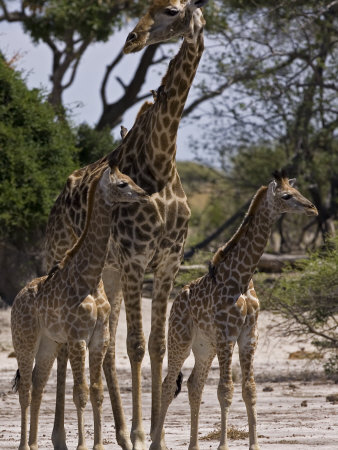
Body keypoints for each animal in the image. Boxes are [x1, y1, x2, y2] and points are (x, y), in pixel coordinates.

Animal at [11, 163, 148, 450]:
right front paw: (83, 445)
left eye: (130, 178)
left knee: (38, 385)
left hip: (48, 343)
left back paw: (33, 444)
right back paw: (24, 445)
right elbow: (80, 392)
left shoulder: (99, 337)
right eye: (122, 184)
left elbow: (96, 391)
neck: (91, 277)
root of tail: (17, 298)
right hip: (24, 339)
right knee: (26, 389)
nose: (144, 195)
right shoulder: (77, 337)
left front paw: (97, 445)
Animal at [45, 1, 209, 448]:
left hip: (109, 274)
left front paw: (155, 436)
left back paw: (115, 433)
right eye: (142, 7)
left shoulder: (167, 263)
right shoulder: (137, 259)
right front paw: (140, 432)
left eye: (170, 10)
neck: (161, 164)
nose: (132, 40)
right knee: (67, 346)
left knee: (104, 347)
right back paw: (65, 435)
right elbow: (135, 346)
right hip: (65, 263)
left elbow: (156, 347)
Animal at [151, 172, 316, 450]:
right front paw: (223, 445)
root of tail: (176, 301)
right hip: (180, 338)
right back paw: (156, 444)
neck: (242, 277)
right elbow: (225, 390)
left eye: (298, 190)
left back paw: (193, 445)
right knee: (168, 383)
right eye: (286, 196)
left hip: (205, 346)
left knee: (194, 384)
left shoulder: (249, 335)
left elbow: (249, 389)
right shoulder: (227, 334)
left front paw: (254, 445)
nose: (312, 208)